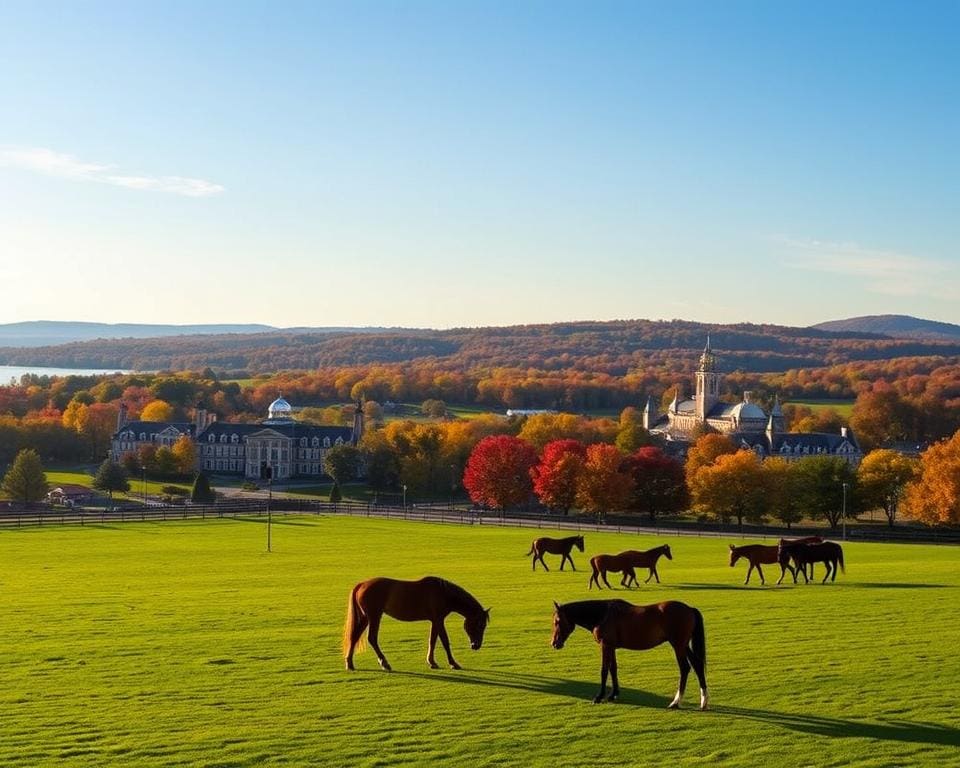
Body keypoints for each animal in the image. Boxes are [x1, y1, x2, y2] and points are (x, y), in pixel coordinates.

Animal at [344, 572, 492, 668]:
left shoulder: (435, 621)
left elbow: (432, 640)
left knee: (354, 636)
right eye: (480, 625)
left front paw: (432, 662)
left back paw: (350, 663)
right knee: (372, 638)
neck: (443, 593)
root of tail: (362, 584)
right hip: (374, 616)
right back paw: (384, 662)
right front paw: (453, 663)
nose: (476, 645)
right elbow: (444, 641)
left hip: (365, 617)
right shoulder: (439, 620)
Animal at [552, 600, 708, 708]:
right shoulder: (612, 647)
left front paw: (599, 696)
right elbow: (613, 669)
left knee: (685, 668)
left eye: (557, 621)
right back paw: (704, 701)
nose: (554, 643)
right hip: (683, 645)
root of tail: (689, 609)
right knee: (698, 665)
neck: (602, 615)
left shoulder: (605, 645)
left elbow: (604, 670)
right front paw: (613, 694)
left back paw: (676, 702)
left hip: (678, 645)